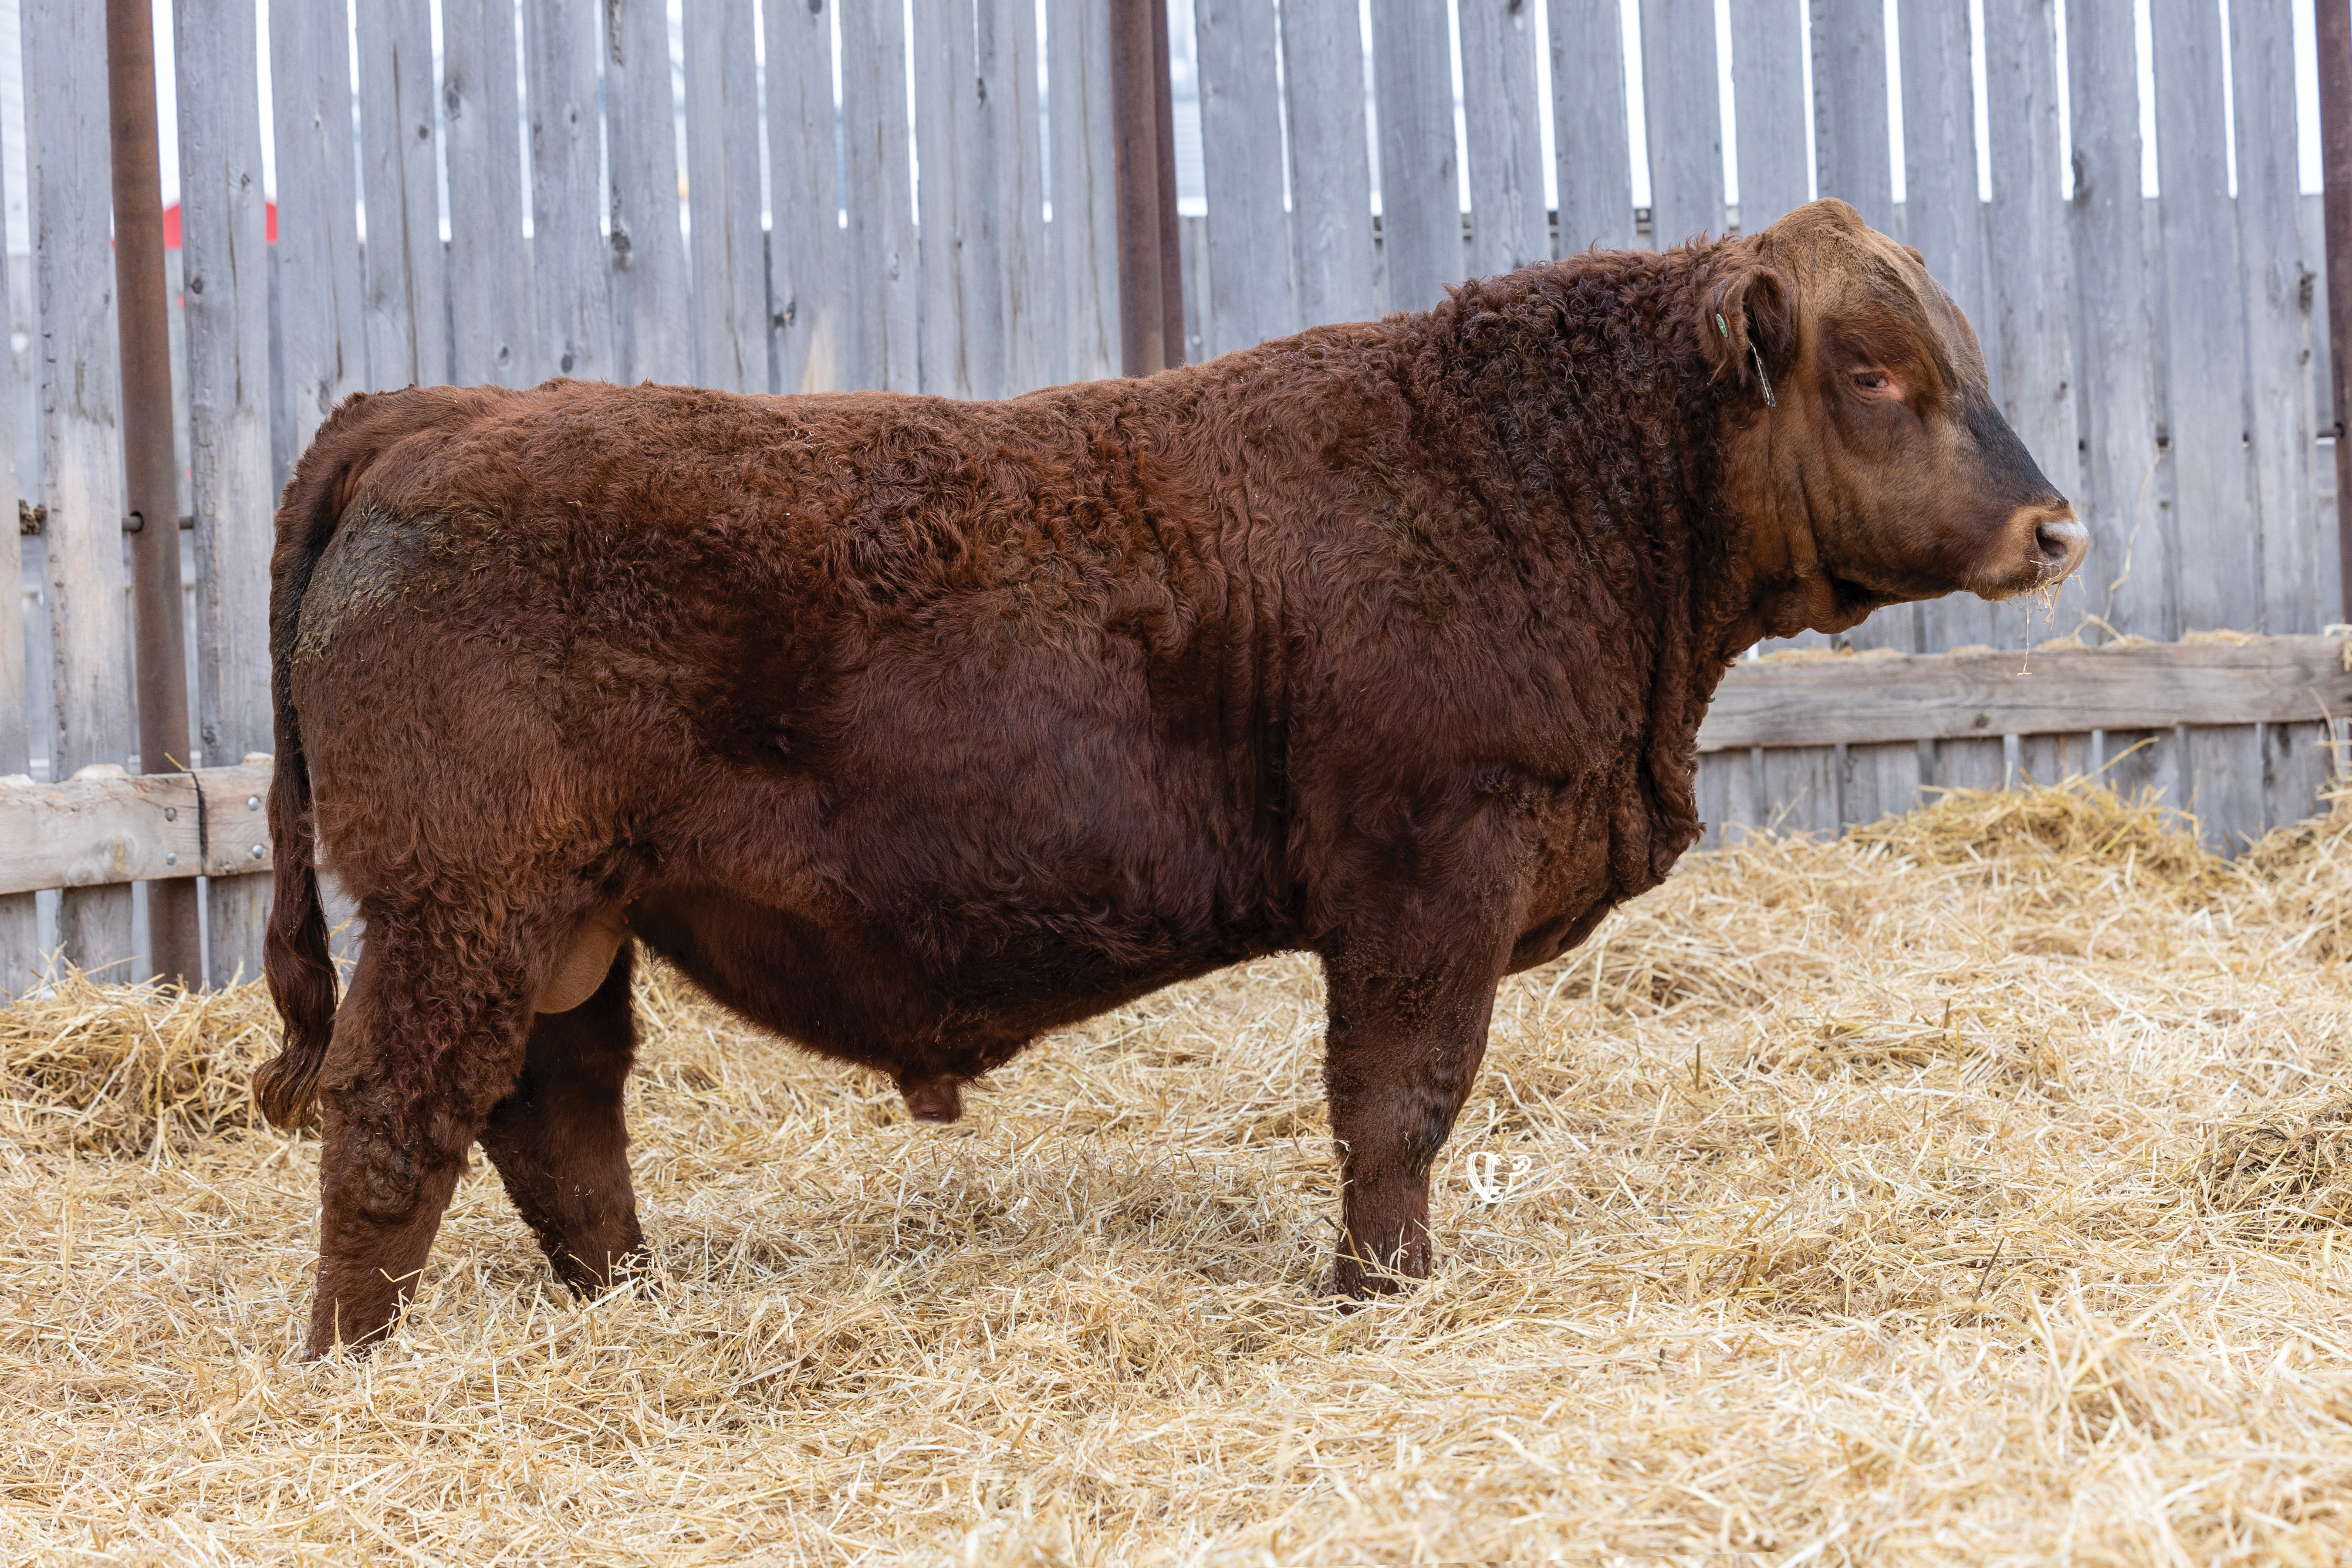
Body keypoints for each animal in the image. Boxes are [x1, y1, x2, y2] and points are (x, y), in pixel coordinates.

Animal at [254, 199, 2083, 1356]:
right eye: (1873, 370)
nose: (2051, 526)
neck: (1542, 480)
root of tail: (434, 411)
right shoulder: (1428, 873)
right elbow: (1398, 1103)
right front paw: (1379, 1293)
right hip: (464, 901)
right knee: (392, 1116)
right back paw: (352, 1365)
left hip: (567, 921)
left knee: (555, 1120)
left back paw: (630, 1304)